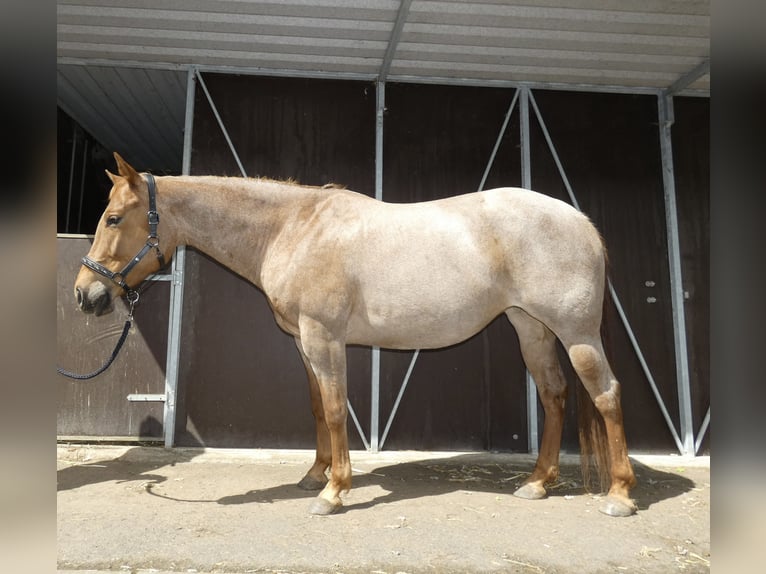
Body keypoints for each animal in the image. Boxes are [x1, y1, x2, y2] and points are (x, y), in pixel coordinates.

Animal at [73, 152, 637, 517]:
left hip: (576, 333)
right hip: (531, 329)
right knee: (555, 393)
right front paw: (314, 476)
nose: (85, 295)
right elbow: (318, 407)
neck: (293, 228)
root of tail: (580, 221)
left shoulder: (325, 339)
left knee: (606, 394)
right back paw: (538, 483)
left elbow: (336, 407)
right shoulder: (303, 343)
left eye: (113, 218)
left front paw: (334, 491)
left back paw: (619, 495)